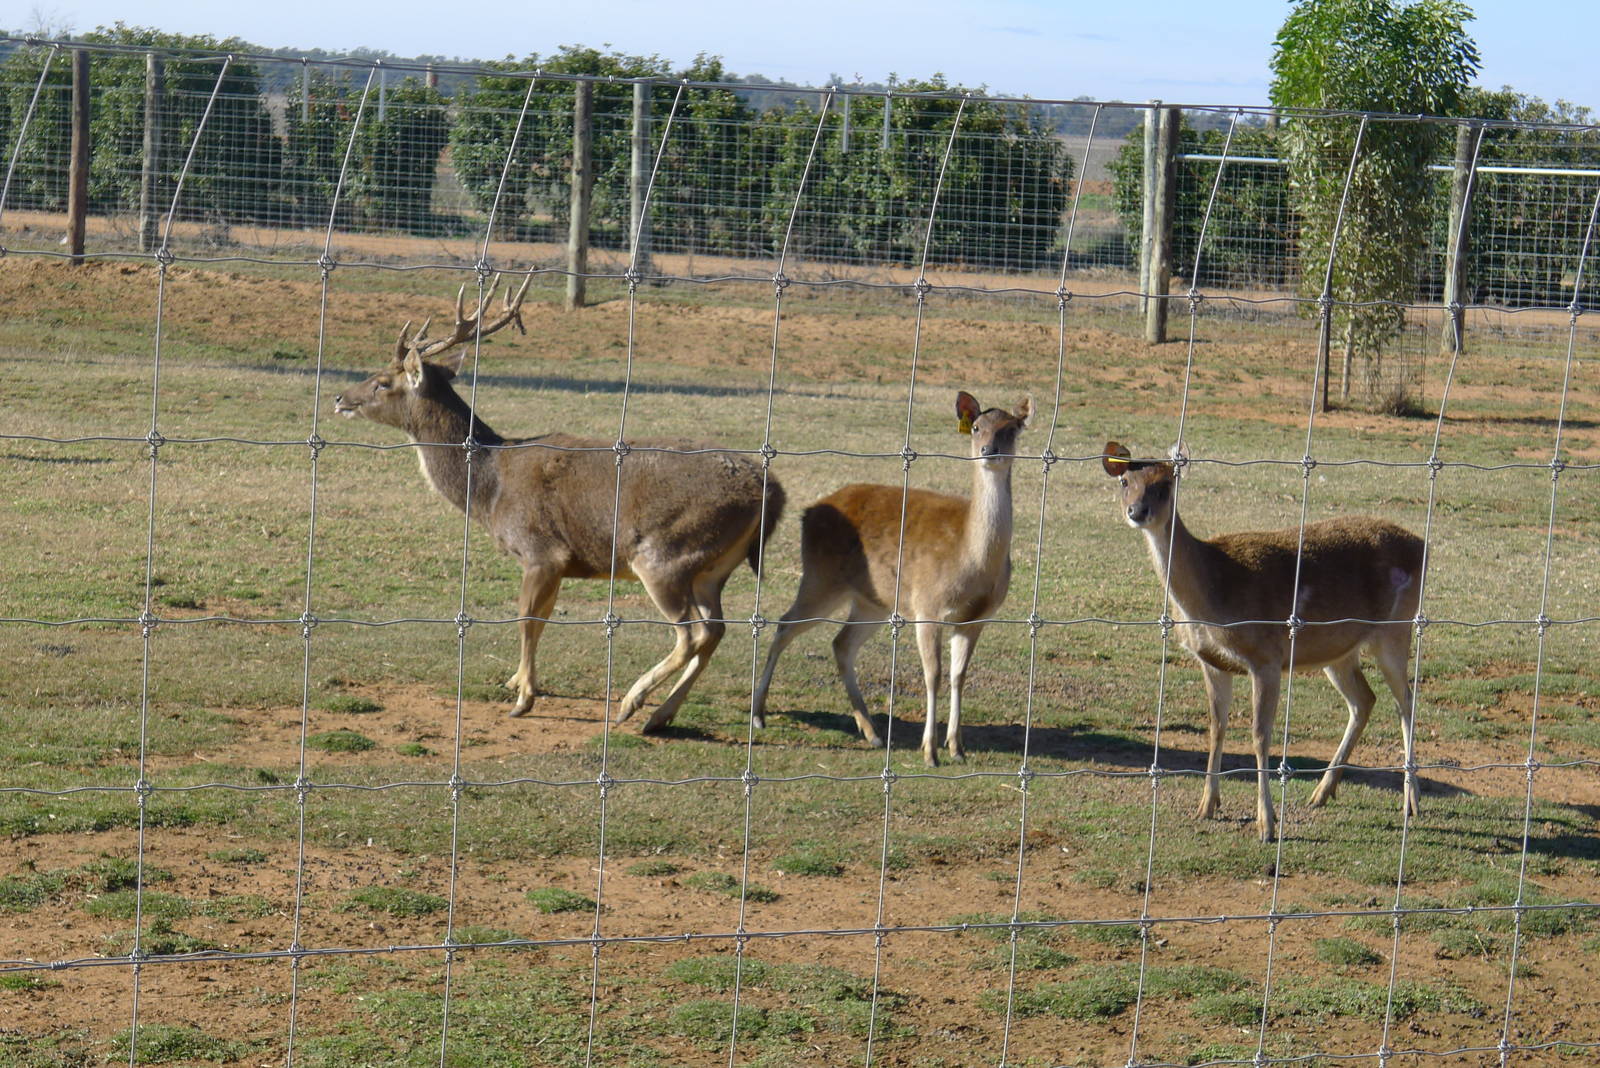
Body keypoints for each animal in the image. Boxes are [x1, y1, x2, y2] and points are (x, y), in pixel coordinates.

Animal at [332, 277, 785, 733]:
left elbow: (527, 619)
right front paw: (518, 680)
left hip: (665, 555)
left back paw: (632, 702)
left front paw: (523, 698)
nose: (339, 398)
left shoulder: (541, 550)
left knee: (694, 632)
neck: (489, 489)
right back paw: (660, 715)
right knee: (716, 630)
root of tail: (770, 490)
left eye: (382, 381)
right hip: (713, 567)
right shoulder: (559, 562)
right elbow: (544, 618)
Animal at [751, 391, 1032, 767]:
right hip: (820, 578)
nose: (989, 450)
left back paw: (871, 732)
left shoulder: (977, 618)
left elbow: (959, 676)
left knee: (841, 643)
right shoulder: (927, 604)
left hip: (873, 601)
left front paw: (957, 749)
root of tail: (809, 511)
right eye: (976, 427)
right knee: (784, 624)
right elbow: (934, 675)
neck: (972, 562)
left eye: (1012, 429)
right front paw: (930, 752)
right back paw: (758, 715)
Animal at [1100, 442, 1425, 841]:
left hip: (1396, 628)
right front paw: (1206, 806)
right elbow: (1216, 727)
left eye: (1165, 484)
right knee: (1365, 699)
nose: (1137, 512)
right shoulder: (1212, 662)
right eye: (1125, 482)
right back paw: (1322, 792)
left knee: (1406, 701)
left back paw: (1411, 802)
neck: (1212, 598)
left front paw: (1266, 824)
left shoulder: (1266, 657)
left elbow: (1259, 734)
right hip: (1338, 652)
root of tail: (1423, 544)